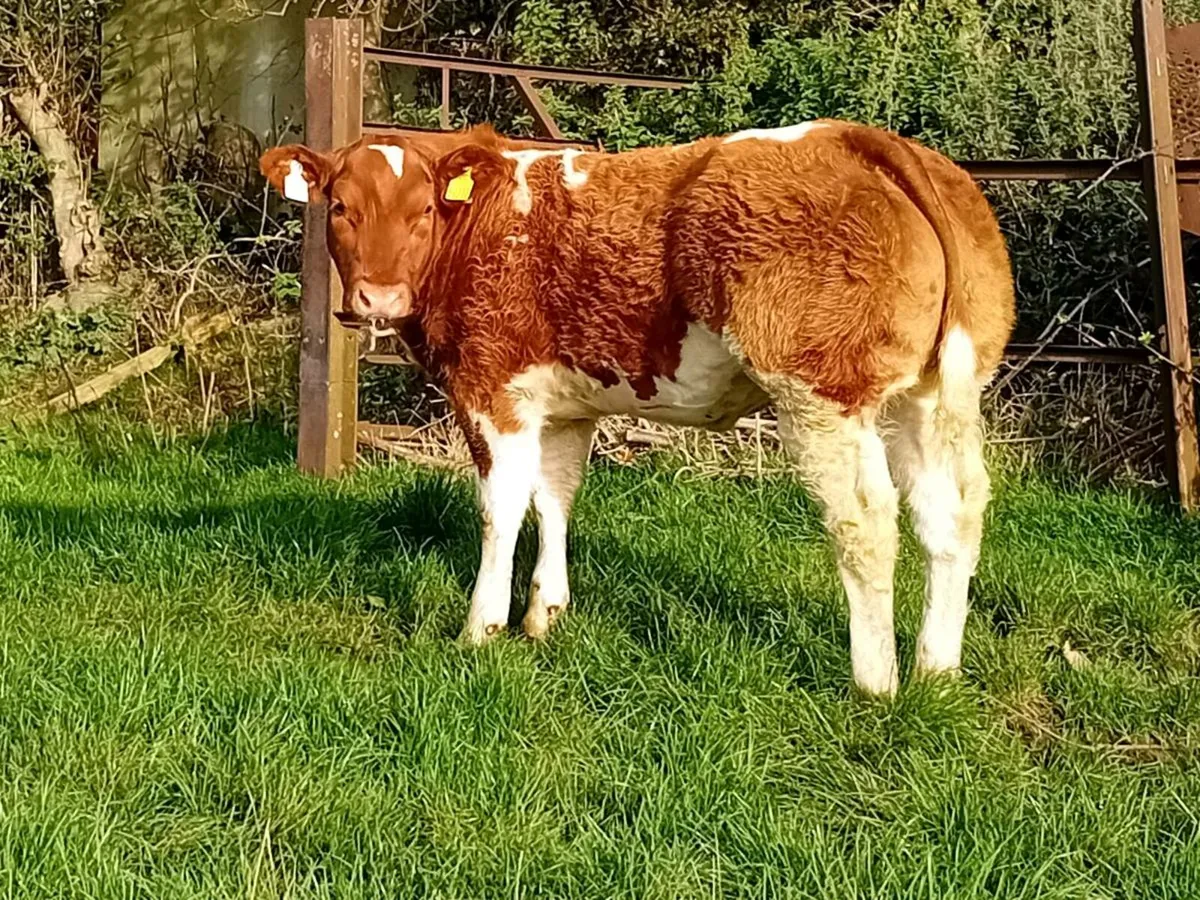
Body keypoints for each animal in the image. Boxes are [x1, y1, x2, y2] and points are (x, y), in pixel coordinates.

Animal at [260, 120, 1015, 696]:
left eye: (422, 211)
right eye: (339, 208)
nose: (378, 298)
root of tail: (862, 138)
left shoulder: (491, 389)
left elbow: (500, 507)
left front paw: (481, 629)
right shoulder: (563, 404)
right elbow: (555, 496)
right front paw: (545, 613)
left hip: (823, 392)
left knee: (865, 521)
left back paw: (875, 683)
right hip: (930, 393)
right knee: (952, 512)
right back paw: (937, 669)